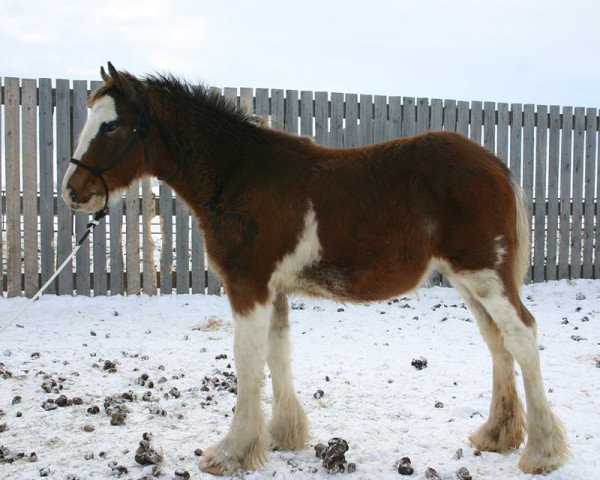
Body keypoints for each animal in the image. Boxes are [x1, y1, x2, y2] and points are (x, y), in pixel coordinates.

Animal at [61, 63, 568, 476]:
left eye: (112, 125)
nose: (74, 190)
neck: (241, 176)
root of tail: (496, 165)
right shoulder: (273, 289)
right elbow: (277, 353)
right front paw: (283, 436)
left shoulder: (247, 284)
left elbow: (247, 361)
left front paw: (230, 452)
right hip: (468, 281)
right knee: (498, 343)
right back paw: (497, 436)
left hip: (485, 274)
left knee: (522, 335)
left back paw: (542, 451)